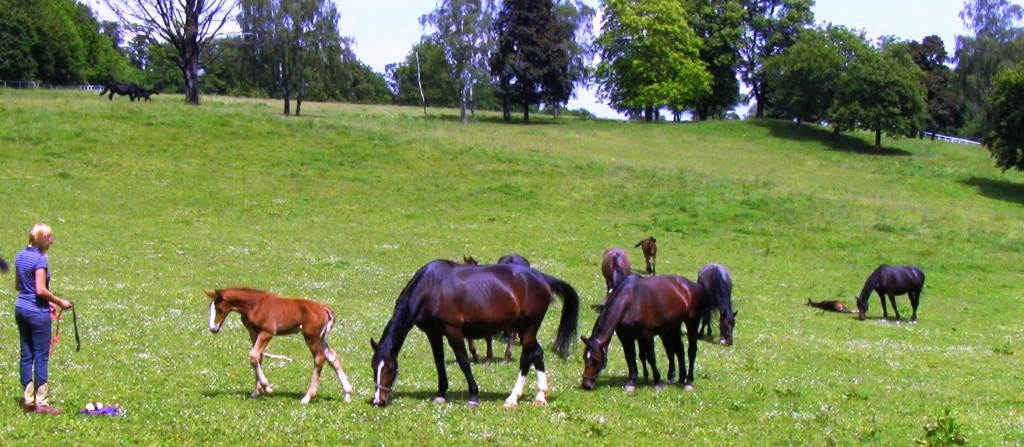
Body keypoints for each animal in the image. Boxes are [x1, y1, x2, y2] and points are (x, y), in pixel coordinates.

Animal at [203, 288, 356, 403]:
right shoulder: (254, 333)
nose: (213, 328)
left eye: (219, 308)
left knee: (319, 358)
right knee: (332, 357)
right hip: (321, 337)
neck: (254, 304)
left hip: (311, 337)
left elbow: (253, 356)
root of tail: (325, 309)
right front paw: (256, 392)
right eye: (210, 308)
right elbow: (258, 358)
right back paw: (347, 394)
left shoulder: (268, 332)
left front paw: (268, 389)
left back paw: (307, 397)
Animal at [368, 257, 581, 407]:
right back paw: (540, 396)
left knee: (526, 358)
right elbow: (439, 362)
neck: (432, 287)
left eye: (389, 369)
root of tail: (542, 278)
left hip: (528, 327)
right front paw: (441, 394)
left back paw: (512, 398)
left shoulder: (453, 331)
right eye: (373, 367)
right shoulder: (433, 333)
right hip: (522, 328)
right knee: (537, 353)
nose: (379, 400)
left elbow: (464, 362)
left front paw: (473, 396)